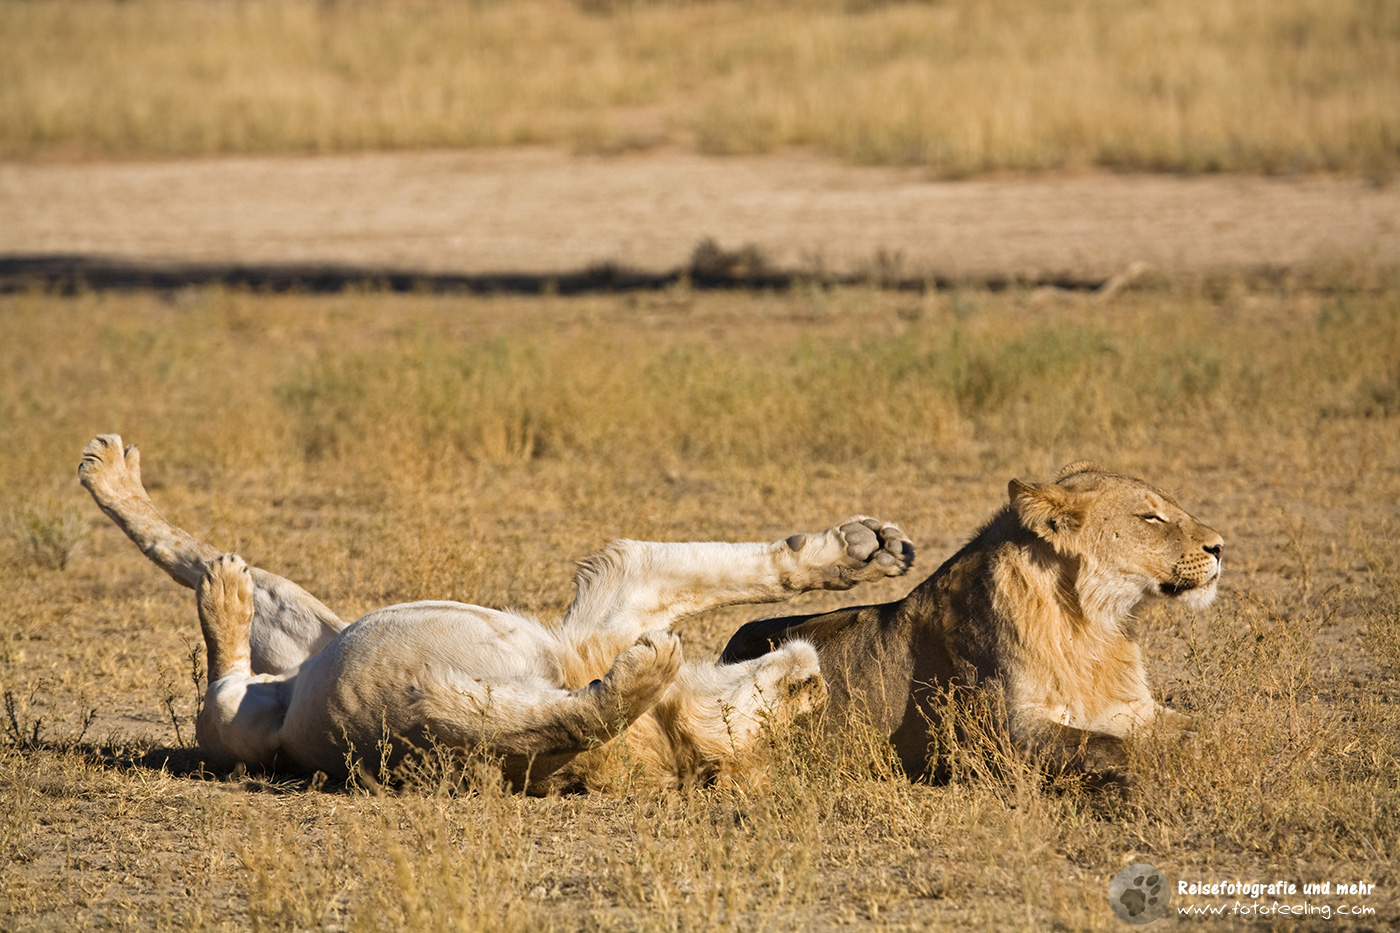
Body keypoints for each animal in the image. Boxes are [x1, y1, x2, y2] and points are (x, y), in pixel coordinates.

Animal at [78, 434, 913, 792]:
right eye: (792, 713)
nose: (816, 682)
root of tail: (285, 681)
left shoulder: (443, 725)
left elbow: (573, 713)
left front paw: (640, 672)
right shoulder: (622, 589)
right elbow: (748, 565)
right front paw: (862, 548)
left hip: (255, 711)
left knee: (221, 680)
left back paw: (219, 592)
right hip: (314, 623)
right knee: (197, 556)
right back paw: (118, 480)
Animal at [721, 462, 1223, 787]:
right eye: (1151, 516)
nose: (1220, 546)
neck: (1094, 621)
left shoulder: (1129, 709)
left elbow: (1200, 734)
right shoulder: (1000, 737)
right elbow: (1108, 747)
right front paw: (1143, 779)